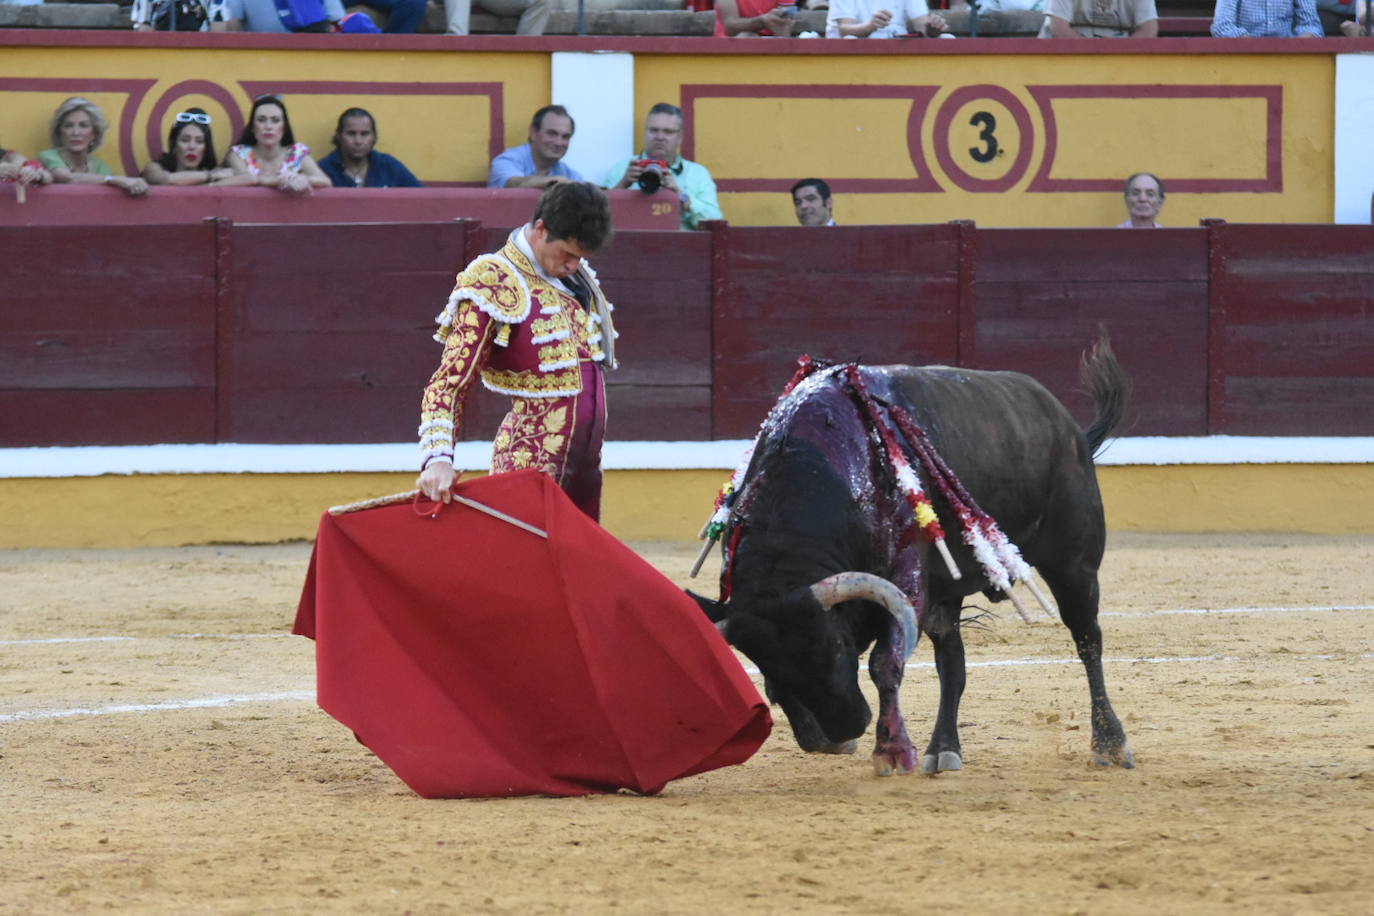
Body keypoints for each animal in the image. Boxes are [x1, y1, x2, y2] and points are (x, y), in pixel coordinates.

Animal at [692, 340, 1132, 780]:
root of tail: (1067, 425)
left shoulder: (908, 577)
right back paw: (944, 749)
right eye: (765, 663)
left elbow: (885, 663)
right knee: (952, 662)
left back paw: (1110, 744)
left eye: (836, 645)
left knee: (1087, 639)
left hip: (1074, 565)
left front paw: (892, 751)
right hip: (950, 591)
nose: (835, 736)